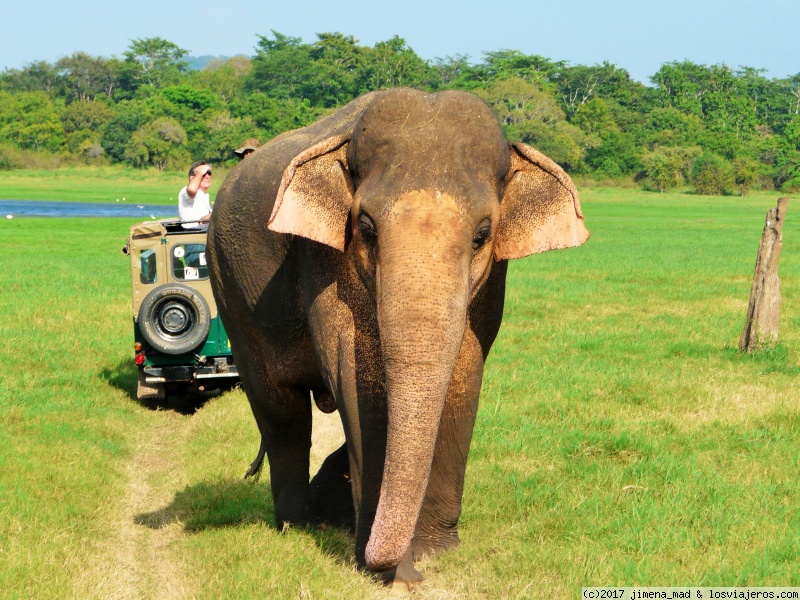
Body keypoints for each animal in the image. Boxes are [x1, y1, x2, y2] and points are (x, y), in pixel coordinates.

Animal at [206, 86, 588, 588]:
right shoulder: (322, 259)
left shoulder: (492, 283)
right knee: (280, 411)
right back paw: (298, 524)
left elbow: (465, 374)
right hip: (228, 287)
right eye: (366, 228)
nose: (409, 574)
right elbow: (357, 382)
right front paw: (395, 570)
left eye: (482, 235)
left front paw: (436, 550)